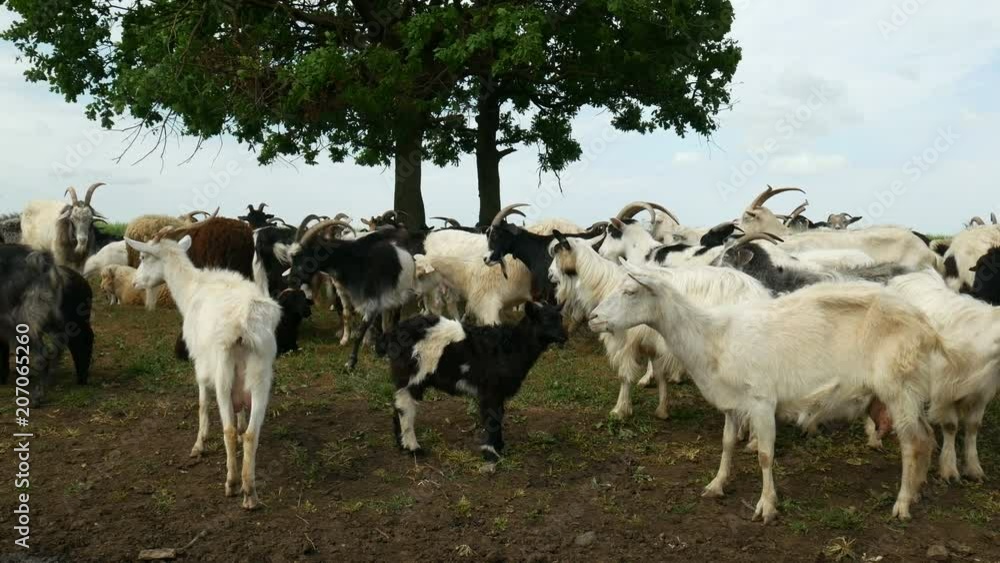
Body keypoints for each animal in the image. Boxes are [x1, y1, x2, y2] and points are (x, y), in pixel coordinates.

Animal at [126, 235, 280, 510]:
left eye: (143, 257)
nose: (135, 282)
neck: (192, 288)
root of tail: (242, 324)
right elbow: (241, 418)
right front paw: (241, 425)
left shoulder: (200, 363)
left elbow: (202, 404)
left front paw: (199, 445)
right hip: (261, 374)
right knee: (252, 434)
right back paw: (250, 493)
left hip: (223, 375)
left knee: (227, 430)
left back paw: (231, 484)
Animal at [378, 301, 567, 462]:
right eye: (545, 320)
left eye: (560, 318)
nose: (564, 337)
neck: (510, 346)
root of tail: (395, 332)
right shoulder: (491, 389)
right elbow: (492, 418)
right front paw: (491, 453)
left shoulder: (498, 392)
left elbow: (499, 415)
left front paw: (499, 447)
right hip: (412, 375)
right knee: (405, 407)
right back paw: (413, 448)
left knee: (398, 405)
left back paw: (401, 445)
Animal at [589, 261, 942, 522]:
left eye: (630, 291)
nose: (593, 318)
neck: (713, 338)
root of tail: (926, 327)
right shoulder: (733, 403)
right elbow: (727, 444)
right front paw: (716, 484)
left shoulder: (761, 401)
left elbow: (764, 455)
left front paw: (767, 505)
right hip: (908, 391)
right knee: (926, 437)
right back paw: (918, 489)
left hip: (898, 388)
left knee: (911, 443)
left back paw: (902, 504)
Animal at [887, 270, 1000, 482]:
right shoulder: (946, 390)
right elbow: (950, 426)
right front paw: (949, 468)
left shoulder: (981, 392)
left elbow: (973, 426)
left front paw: (974, 468)